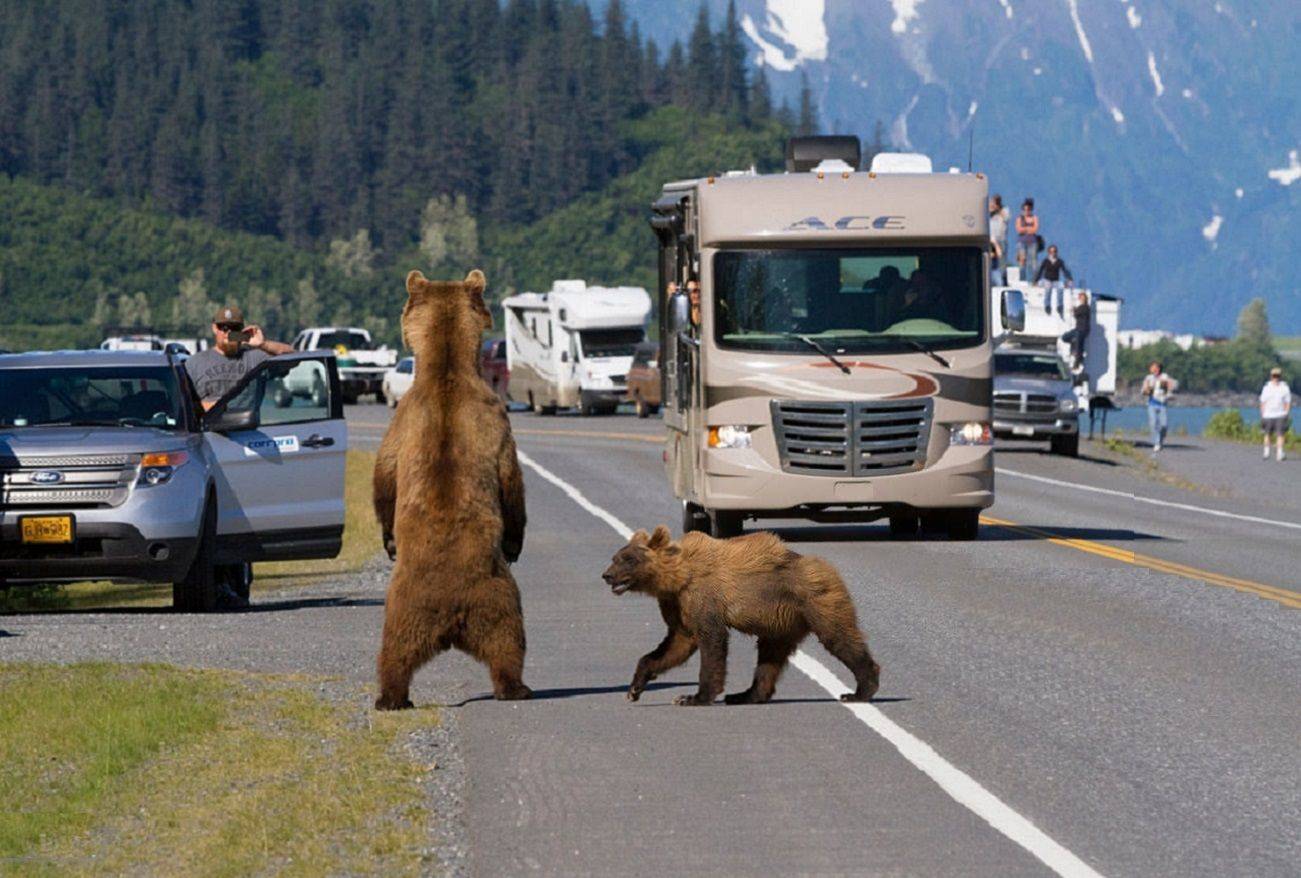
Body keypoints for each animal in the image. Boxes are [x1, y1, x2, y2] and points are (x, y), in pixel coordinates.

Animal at [603, 525, 879, 702]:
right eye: (615, 557)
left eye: (628, 559)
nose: (606, 575)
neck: (678, 577)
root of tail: (826, 566)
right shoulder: (677, 604)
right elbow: (676, 644)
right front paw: (634, 688)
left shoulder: (702, 597)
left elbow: (711, 640)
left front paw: (694, 696)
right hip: (782, 621)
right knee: (770, 657)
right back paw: (746, 694)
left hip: (816, 600)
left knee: (839, 636)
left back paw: (860, 690)